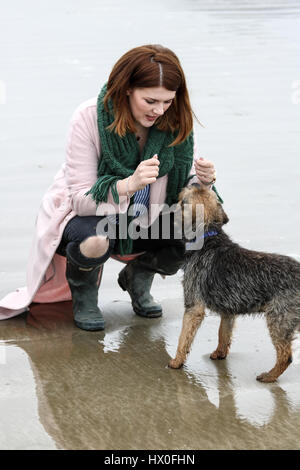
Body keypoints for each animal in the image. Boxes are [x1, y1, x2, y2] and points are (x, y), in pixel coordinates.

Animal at [169, 185, 300, 382]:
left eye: (182, 201)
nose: (194, 182)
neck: (208, 236)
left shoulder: (193, 307)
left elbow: (183, 338)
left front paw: (176, 361)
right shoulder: (228, 312)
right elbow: (223, 334)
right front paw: (219, 353)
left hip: (279, 319)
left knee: (286, 356)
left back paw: (269, 376)